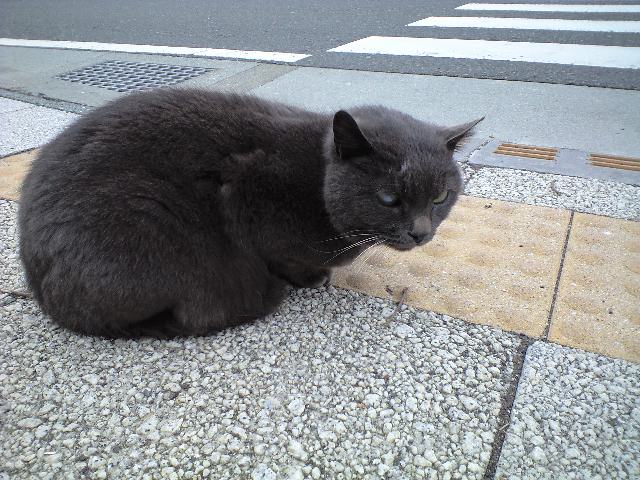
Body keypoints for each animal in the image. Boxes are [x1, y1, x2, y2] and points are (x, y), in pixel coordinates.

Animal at [18, 88, 482, 338]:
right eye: (388, 199)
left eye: (440, 197)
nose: (421, 232)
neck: (315, 178)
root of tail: (41, 290)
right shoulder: (249, 194)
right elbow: (283, 256)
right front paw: (312, 278)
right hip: (147, 219)